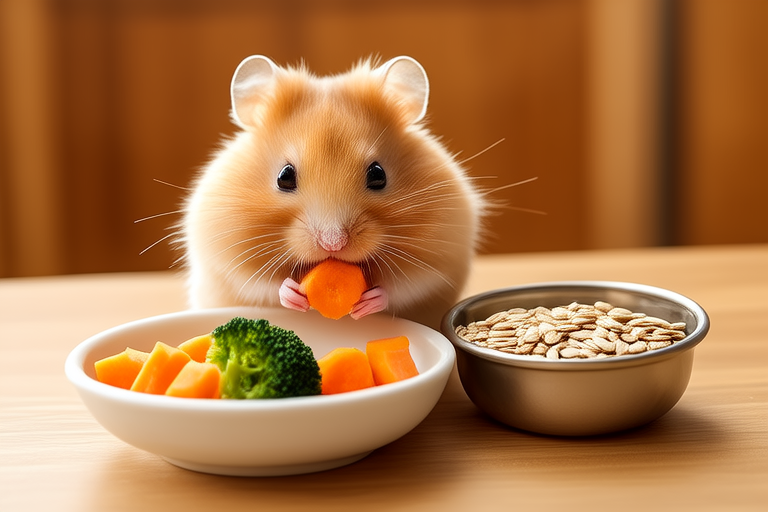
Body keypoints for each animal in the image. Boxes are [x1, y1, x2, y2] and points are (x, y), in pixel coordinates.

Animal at [180, 55, 486, 329]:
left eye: (378, 175)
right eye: (284, 177)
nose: (333, 244)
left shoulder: (441, 257)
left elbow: (407, 285)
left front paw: (369, 301)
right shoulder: (227, 257)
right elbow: (262, 284)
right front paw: (293, 294)